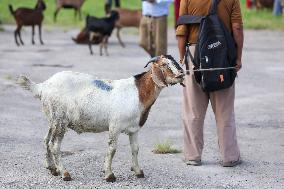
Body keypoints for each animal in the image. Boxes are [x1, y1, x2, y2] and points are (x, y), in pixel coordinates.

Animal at [17, 54, 184, 182]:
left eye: (176, 62)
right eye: (165, 64)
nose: (181, 75)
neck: (138, 93)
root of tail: (42, 86)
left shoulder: (134, 129)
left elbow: (135, 149)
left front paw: (138, 172)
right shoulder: (115, 126)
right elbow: (112, 149)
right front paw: (109, 175)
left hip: (53, 119)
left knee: (46, 140)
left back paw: (53, 169)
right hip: (60, 120)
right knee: (54, 145)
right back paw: (65, 173)